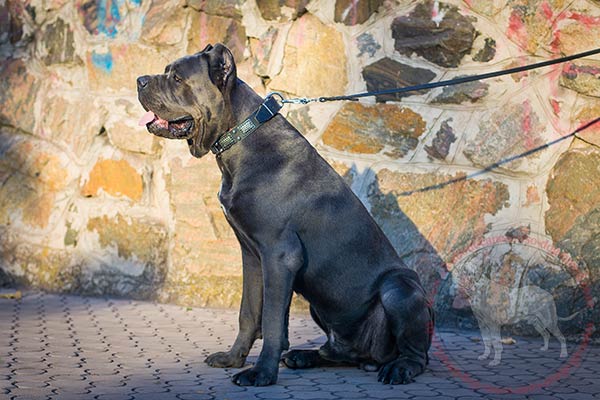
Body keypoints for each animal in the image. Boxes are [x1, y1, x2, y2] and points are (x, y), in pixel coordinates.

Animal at [138, 43, 434, 384]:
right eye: (166, 70)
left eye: (176, 78)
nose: (140, 80)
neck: (241, 136)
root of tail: (371, 358)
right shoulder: (253, 255)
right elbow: (249, 312)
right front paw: (233, 358)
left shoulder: (280, 255)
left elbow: (271, 320)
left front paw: (261, 373)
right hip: (322, 304)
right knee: (341, 351)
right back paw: (305, 357)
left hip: (399, 289)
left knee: (417, 354)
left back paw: (398, 367)